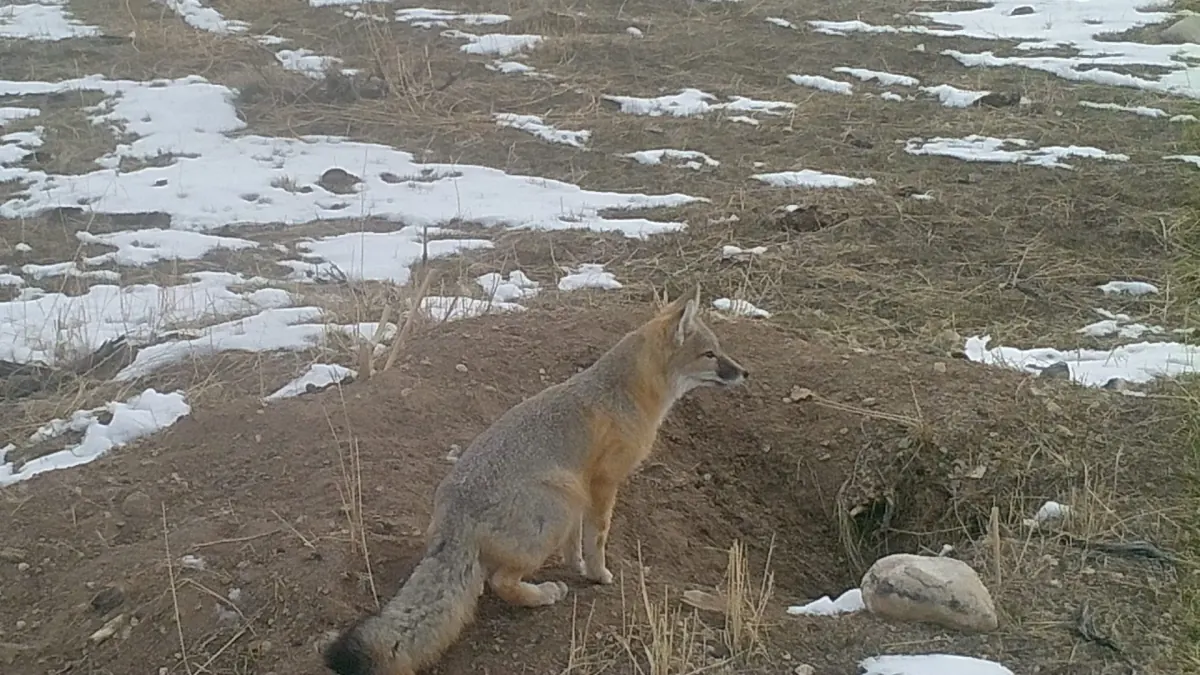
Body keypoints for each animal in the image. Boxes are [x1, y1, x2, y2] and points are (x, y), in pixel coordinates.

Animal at [322, 287, 750, 675]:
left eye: (720, 350)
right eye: (710, 354)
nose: (744, 372)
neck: (625, 393)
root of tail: (454, 511)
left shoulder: (584, 485)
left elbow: (576, 543)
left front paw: (577, 566)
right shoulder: (602, 484)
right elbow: (597, 538)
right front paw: (598, 575)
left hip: (568, 498)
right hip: (559, 505)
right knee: (500, 582)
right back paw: (543, 593)